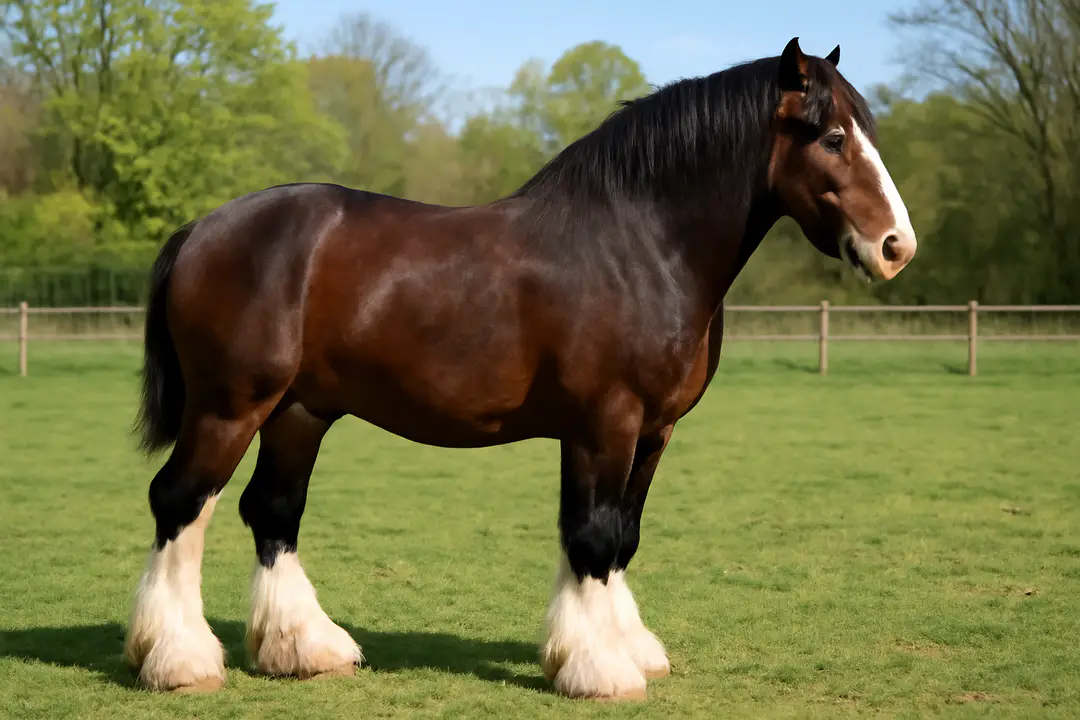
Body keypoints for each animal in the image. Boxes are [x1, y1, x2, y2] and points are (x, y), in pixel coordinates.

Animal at [121, 37, 916, 701]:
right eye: (834, 137)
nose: (895, 246)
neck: (640, 245)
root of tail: (202, 229)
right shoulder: (605, 422)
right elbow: (592, 535)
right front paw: (599, 669)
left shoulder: (652, 431)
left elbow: (618, 536)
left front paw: (616, 648)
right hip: (230, 406)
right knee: (180, 503)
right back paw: (178, 659)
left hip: (299, 412)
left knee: (273, 511)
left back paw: (305, 649)